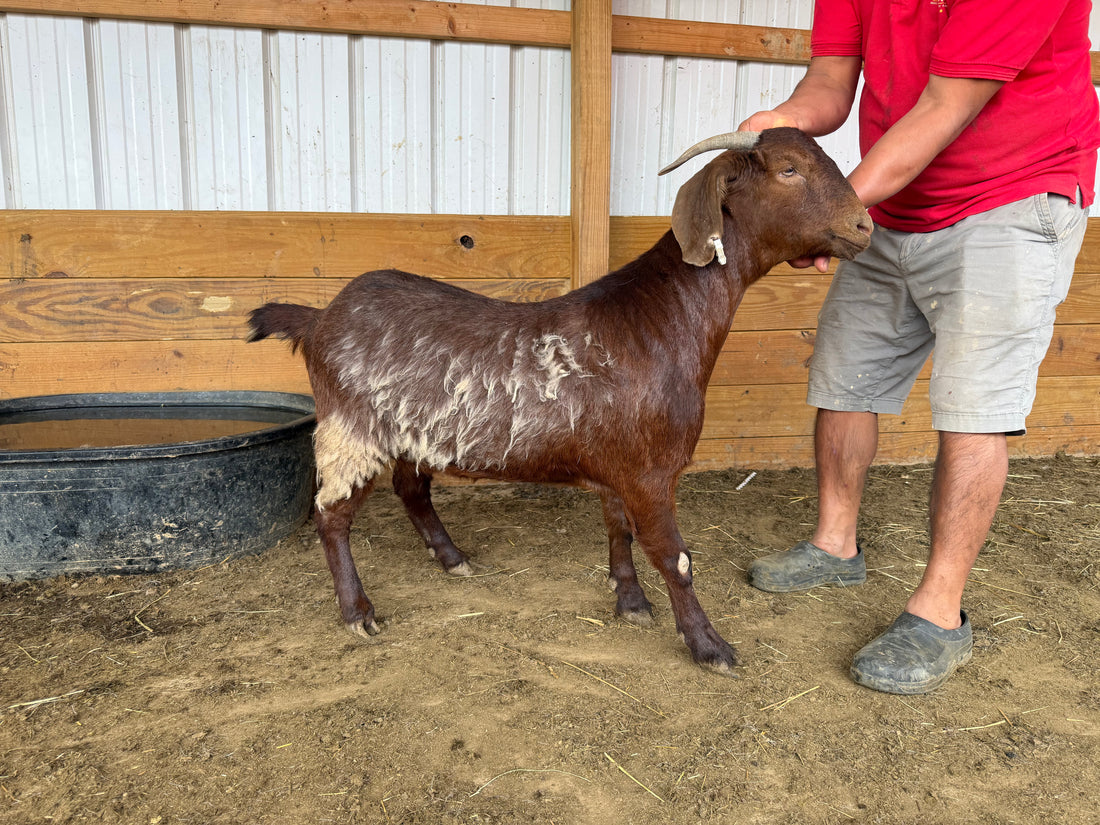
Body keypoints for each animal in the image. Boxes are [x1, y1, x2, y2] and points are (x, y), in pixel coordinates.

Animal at [247, 127, 872, 675]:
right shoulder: (651, 470)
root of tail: (320, 318)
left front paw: (630, 602)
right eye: (788, 169)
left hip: (411, 430)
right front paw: (709, 646)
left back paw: (451, 557)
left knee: (410, 488)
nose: (864, 225)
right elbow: (675, 557)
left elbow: (619, 529)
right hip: (352, 429)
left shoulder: (622, 463)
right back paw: (358, 611)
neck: (658, 321)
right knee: (331, 515)